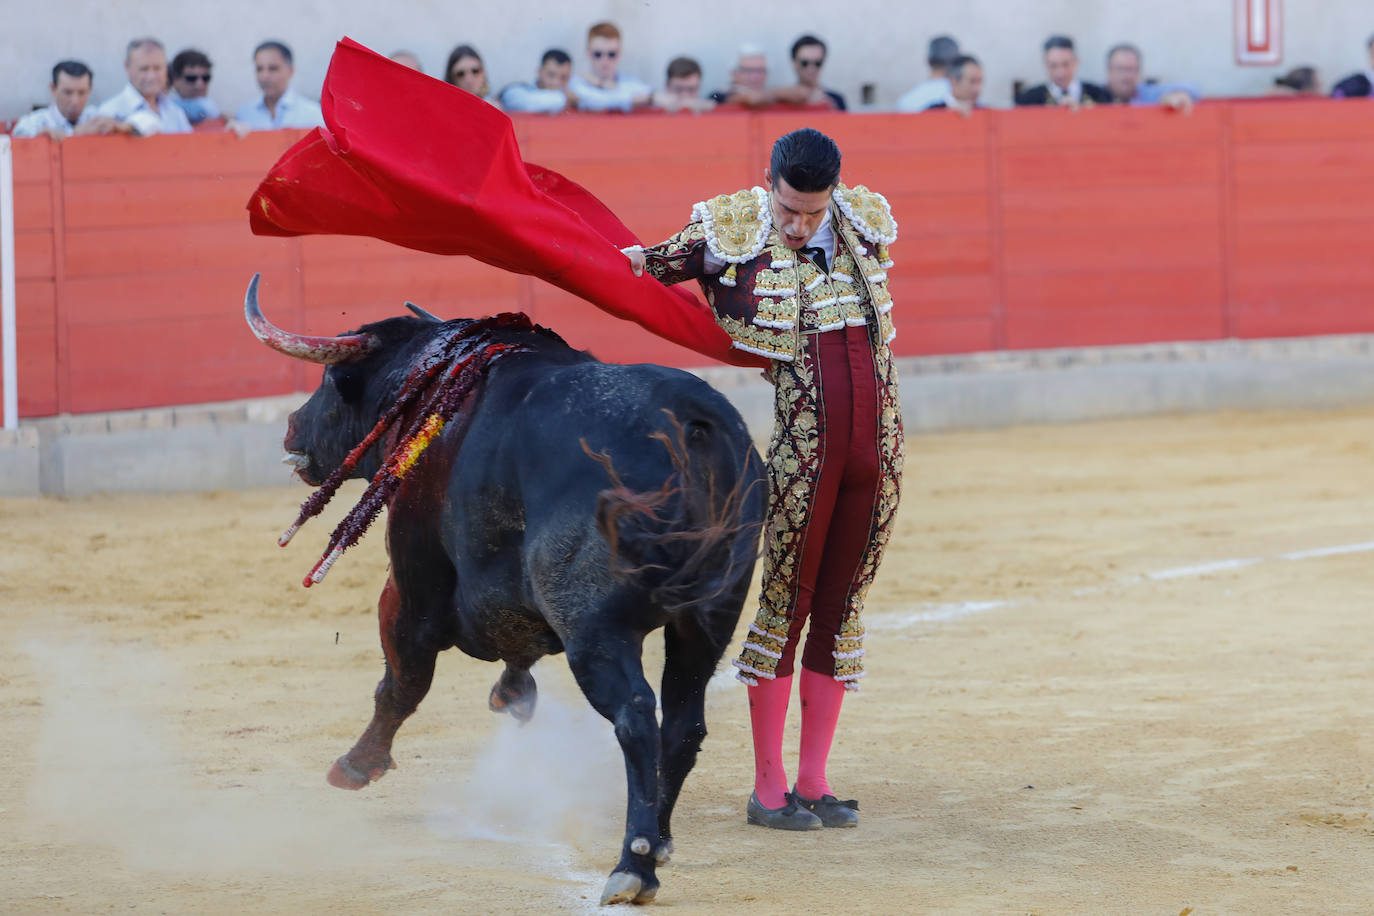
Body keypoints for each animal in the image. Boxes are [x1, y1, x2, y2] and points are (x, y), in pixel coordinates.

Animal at [247, 277, 763, 900]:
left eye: (327, 383)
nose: (292, 424)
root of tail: (690, 427)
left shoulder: (412, 584)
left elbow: (401, 683)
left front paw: (356, 765)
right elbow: (516, 646)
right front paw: (510, 694)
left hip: (596, 629)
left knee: (636, 716)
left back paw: (632, 866)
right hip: (709, 617)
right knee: (683, 724)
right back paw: (659, 841)